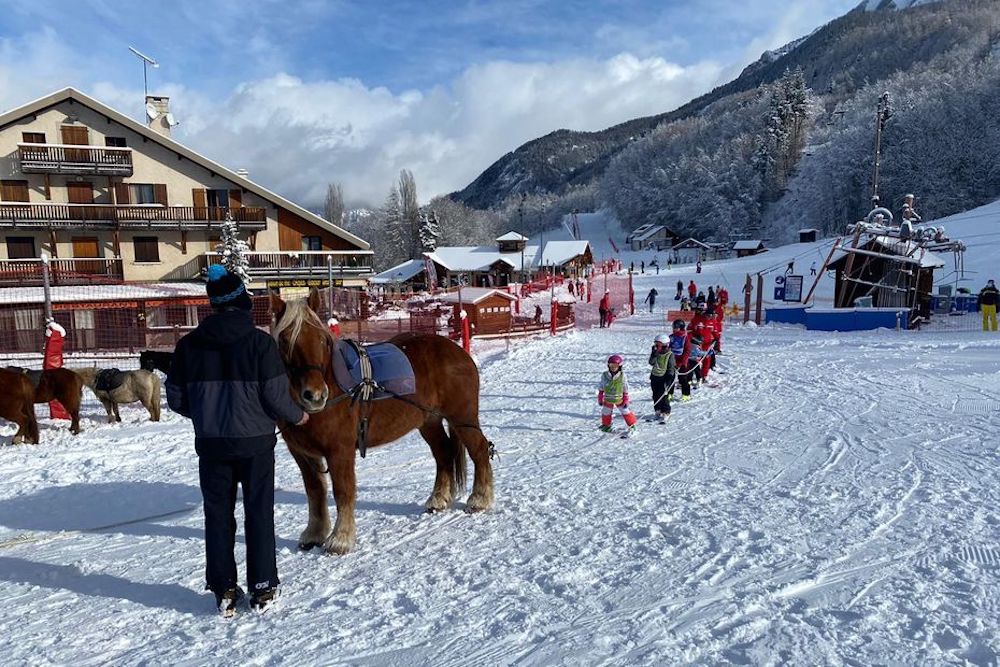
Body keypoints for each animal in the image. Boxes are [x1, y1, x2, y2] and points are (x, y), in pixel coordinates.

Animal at [272, 292, 494, 560]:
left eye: (322, 340)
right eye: (284, 341)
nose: (314, 395)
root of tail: (458, 351)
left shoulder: (340, 451)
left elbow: (343, 491)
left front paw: (340, 540)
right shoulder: (303, 454)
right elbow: (315, 491)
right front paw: (314, 534)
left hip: (462, 418)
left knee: (479, 450)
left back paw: (479, 499)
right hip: (429, 422)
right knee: (443, 454)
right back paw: (438, 499)